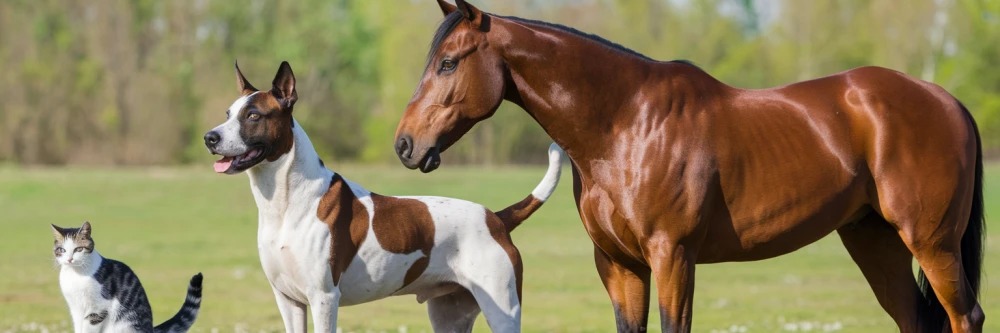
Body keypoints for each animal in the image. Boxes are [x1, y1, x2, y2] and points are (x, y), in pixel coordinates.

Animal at [50, 220, 203, 332]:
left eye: (78, 249)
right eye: (62, 250)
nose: (69, 259)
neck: (75, 274)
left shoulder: (98, 309)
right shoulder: (75, 308)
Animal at [203, 61, 564, 330]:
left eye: (253, 116)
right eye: (228, 114)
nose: (210, 137)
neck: (287, 202)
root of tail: (495, 219)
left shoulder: (323, 298)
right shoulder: (288, 301)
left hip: (502, 309)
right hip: (450, 313)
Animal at [390, 1, 984, 330]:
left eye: (448, 63)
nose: (405, 145)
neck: (626, 124)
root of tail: (947, 101)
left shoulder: (673, 256)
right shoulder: (619, 264)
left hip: (931, 241)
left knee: (965, 316)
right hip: (874, 239)